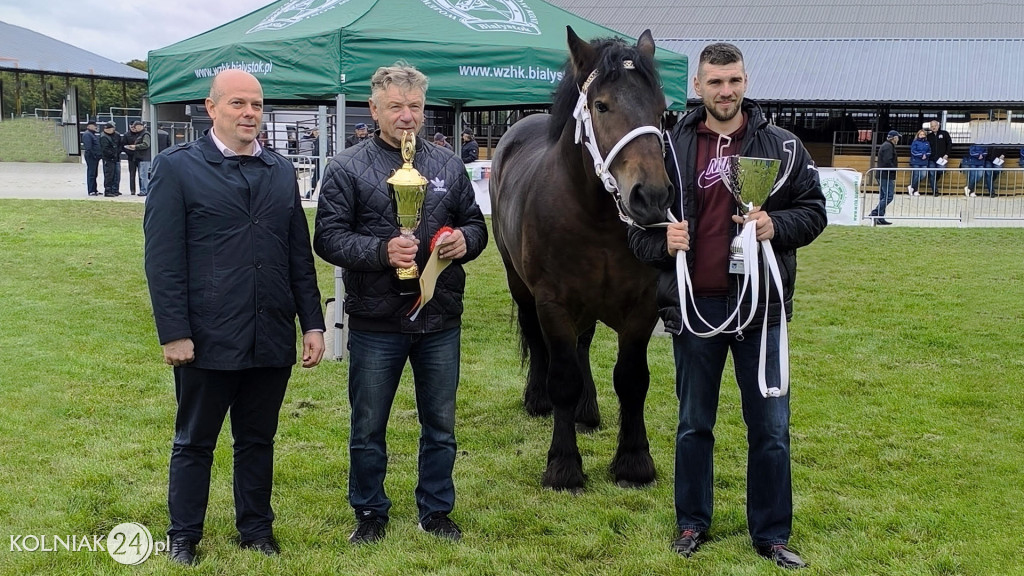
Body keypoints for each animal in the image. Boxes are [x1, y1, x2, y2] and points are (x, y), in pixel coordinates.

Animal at [487, 24, 671, 485]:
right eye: (601, 105)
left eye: (661, 110)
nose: (652, 197)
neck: (596, 220)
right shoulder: (553, 303)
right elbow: (563, 378)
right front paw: (564, 465)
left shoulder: (642, 307)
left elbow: (632, 380)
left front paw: (634, 462)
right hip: (520, 285)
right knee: (537, 340)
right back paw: (538, 400)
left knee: (584, 344)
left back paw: (587, 412)